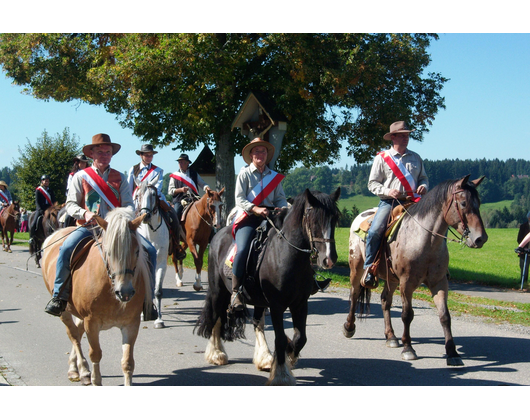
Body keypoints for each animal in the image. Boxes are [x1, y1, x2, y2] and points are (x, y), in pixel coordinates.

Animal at [40, 208, 152, 386]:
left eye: (137, 251)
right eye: (109, 252)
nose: (125, 292)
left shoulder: (131, 324)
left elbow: (127, 362)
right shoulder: (91, 322)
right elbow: (95, 354)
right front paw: (94, 377)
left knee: (78, 333)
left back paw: (75, 368)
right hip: (64, 311)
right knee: (73, 335)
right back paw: (82, 370)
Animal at [196, 189, 340, 386]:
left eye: (334, 219)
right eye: (314, 218)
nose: (329, 259)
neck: (287, 253)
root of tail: (217, 235)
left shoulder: (300, 304)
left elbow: (300, 338)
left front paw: (289, 355)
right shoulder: (277, 305)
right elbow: (279, 339)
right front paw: (281, 375)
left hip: (258, 300)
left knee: (257, 323)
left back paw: (264, 358)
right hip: (219, 291)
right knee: (216, 317)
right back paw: (217, 354)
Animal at [342, 176, 486, 366]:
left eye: (479, 203)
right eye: (463, 203)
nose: (480, 238)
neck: (425, 241)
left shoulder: (439, 282)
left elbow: (445, 316)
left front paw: (452, 353)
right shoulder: (406, 283)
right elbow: (407, 315)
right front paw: (408, 348)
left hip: (391, 278)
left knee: (385, 301)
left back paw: (391, 336)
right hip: (357, 268)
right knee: (355, 293)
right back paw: (349, 327)